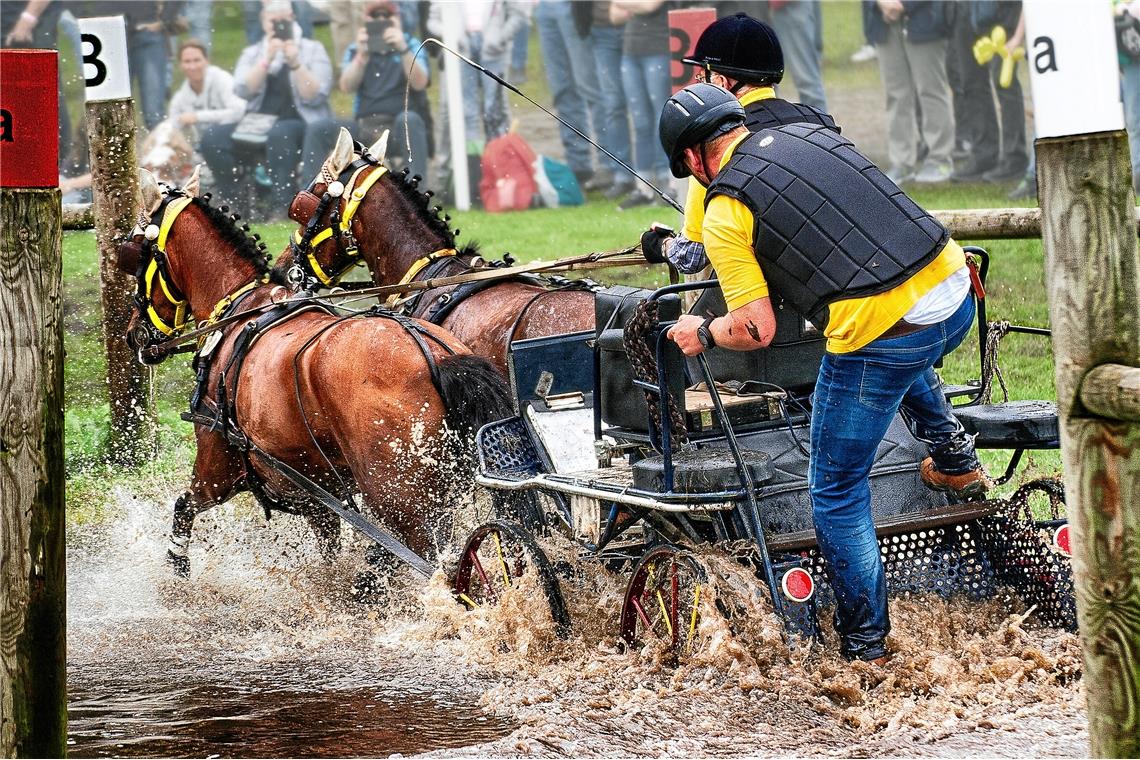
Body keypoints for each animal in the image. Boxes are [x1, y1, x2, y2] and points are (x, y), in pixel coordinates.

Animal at [122, 166, 510, 576]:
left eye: (134, 255)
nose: (134, 333)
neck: (241, 307)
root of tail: (436, 356)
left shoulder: (218, 466)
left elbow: (184, 507)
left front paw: (178, 568)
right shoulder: (316, 493)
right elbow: (329, 550)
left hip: (401, 503)